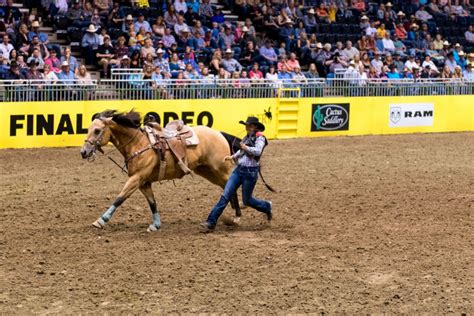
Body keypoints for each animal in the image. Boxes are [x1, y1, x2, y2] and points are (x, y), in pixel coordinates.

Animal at [80, 111, 241, 232]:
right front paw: (156, 224)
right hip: (207, 171)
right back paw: (233, 215)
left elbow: (120, 198)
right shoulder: (144, 182)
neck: (139, 143)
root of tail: (219, 133)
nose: (83, 152)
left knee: (232, 186)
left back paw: (237, 216)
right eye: (88, 129)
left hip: (220, 169)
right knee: (227, 188)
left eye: (97, 130)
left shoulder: (137, 178)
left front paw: (101, 220)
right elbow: (152, 202)